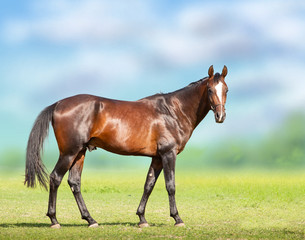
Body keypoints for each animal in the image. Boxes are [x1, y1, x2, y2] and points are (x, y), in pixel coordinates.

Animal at [24, 64, 228, 228]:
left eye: (226, 89)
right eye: (210, 90)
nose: (220, 116)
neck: (172, 111)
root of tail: (58, 104)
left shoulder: (157, 157)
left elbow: (148, 185)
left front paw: (142, 219)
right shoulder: (168, 154)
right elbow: (170, 185)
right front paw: (177, 218)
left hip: (79, 153)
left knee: (74, 182)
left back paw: (90, 220)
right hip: (69, 152)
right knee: (55, 178)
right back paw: (54, 220)